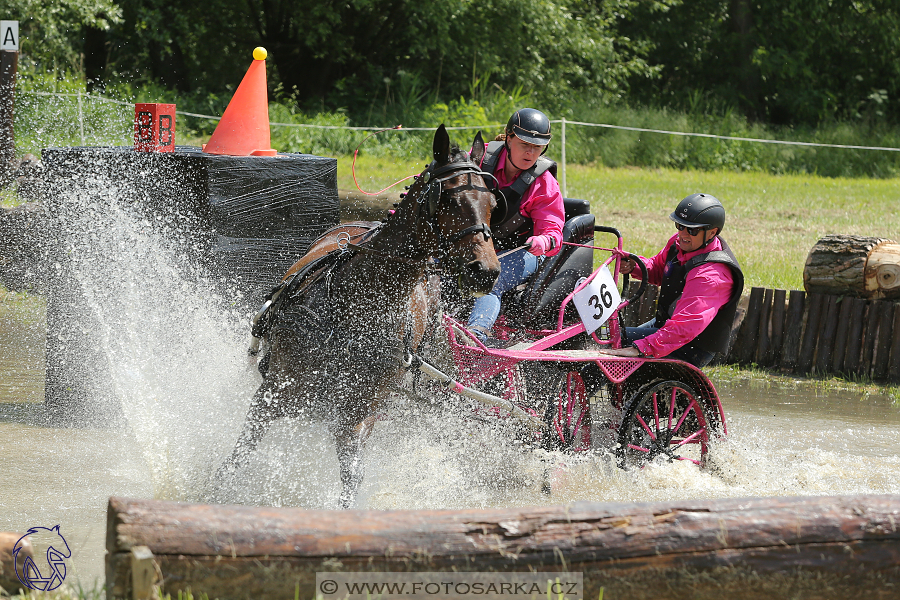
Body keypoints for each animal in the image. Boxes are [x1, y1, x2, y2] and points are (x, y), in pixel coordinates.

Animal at [214, 124, 502, 508]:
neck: (359, 304)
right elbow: (242, 449)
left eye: (492, 205)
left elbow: (352, 474)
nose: (485, 272)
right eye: (449, 200)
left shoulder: (360, 407)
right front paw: (216, 489)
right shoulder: (276, 389)